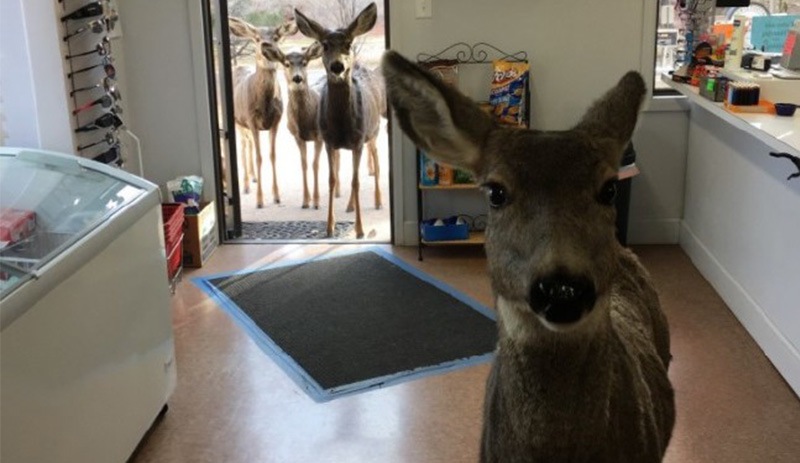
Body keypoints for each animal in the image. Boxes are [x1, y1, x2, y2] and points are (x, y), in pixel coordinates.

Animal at [228, 16, 296, 208]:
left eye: (276, 37)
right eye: (257, 38)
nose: (266, 46)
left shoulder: (276, 121)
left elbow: (272, 155)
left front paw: (276, 196)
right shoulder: (251, 121)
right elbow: (259, 157)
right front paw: (259, 200)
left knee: (248, 143)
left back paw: (253, 178)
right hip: (237, 121)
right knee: (244, 145)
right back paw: (245, 185)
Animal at [294, 3, 384, 241]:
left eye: (348, 44)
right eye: (325, 45)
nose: (337, 66)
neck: (343, 125)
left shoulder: (359, 140)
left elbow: (356, 181)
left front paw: (360, 230)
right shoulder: (328, 141)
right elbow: (332, 180)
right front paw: (329, 227)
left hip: (373, 132)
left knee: (376, 161)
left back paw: (378, 200)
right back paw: (350, 206)